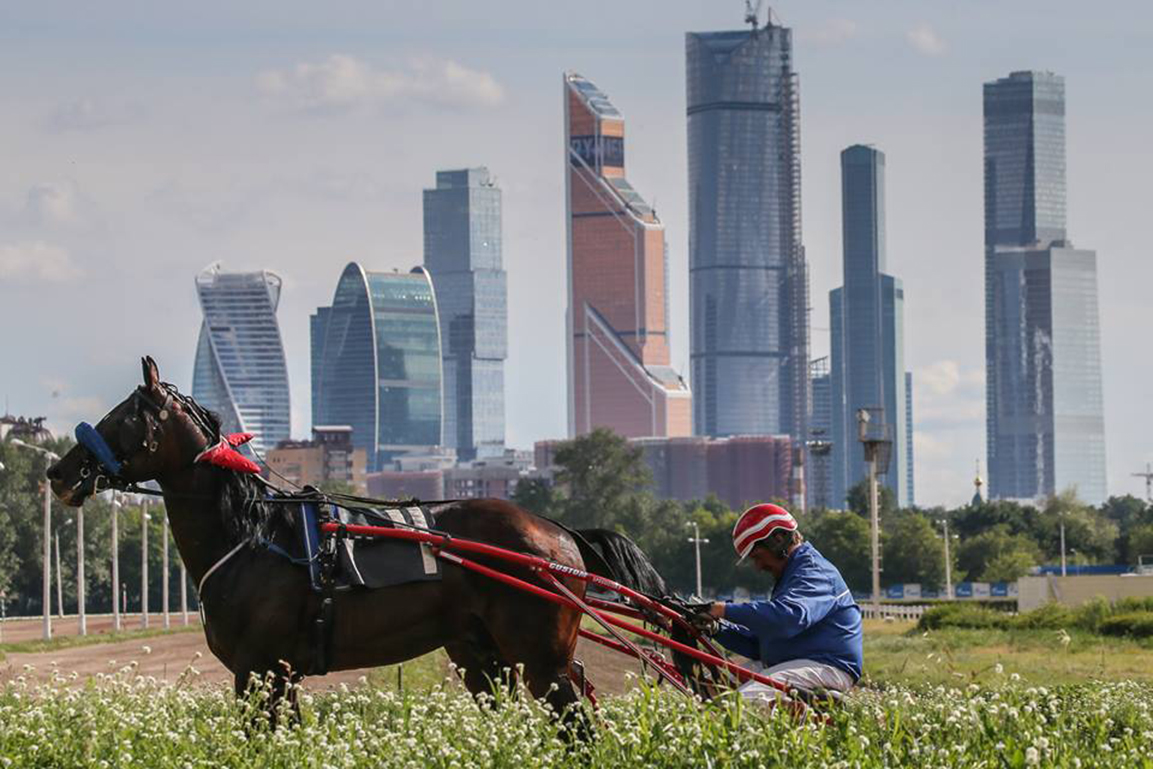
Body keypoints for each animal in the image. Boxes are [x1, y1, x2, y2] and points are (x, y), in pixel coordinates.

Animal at [47, 357, 673, 724]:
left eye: (123, 416)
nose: (59, 471)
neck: (253, 536)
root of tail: (562, 536)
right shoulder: (277, 675)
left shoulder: (260, 670)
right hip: (483, 656)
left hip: (539, 660)